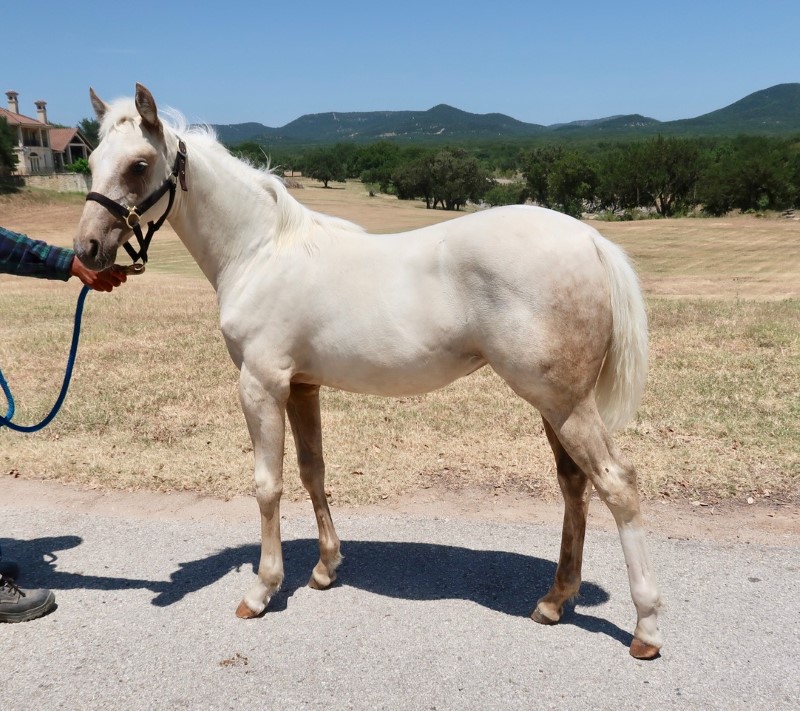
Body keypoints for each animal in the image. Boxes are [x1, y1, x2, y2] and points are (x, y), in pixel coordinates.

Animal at [73, 85, 664, 660]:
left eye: (139, 164)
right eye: (94, 160)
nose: (87, 250)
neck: (260, 252)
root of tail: (590, 239)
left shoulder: (261, 384)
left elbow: (268, 485)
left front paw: (262, 590)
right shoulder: (302, 386)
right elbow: (313, 471)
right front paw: (324, 568)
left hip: (564, 403)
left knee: (618, 485)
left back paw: (646, 628)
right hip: (555, 404)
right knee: (574, 485)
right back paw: (554, 601)